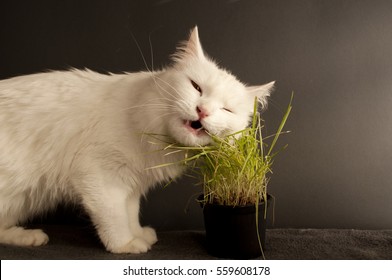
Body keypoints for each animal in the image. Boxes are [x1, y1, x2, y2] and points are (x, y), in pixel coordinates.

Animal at [0, 26, 274, 254]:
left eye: (226, 110)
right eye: (196, 87)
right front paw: (125, 244)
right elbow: (114, 217)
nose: (203, 111)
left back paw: (28, 237)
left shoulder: (131, 185)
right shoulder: (100, 177)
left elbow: (130, 213)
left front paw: (138, 234)